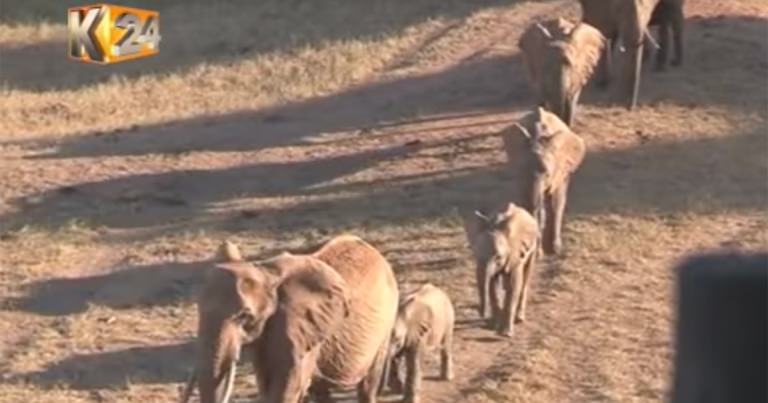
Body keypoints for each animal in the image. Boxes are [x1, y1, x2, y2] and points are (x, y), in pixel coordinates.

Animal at [462, 202, 540, 338]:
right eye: (475, 253)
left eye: (498, 256)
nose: (482, 314)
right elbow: (492, 283)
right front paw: (494, 326)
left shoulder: (516, 253)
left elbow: (514, 285)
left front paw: (506, 334)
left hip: (533, 246)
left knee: (526, 277)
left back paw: (520, 318)